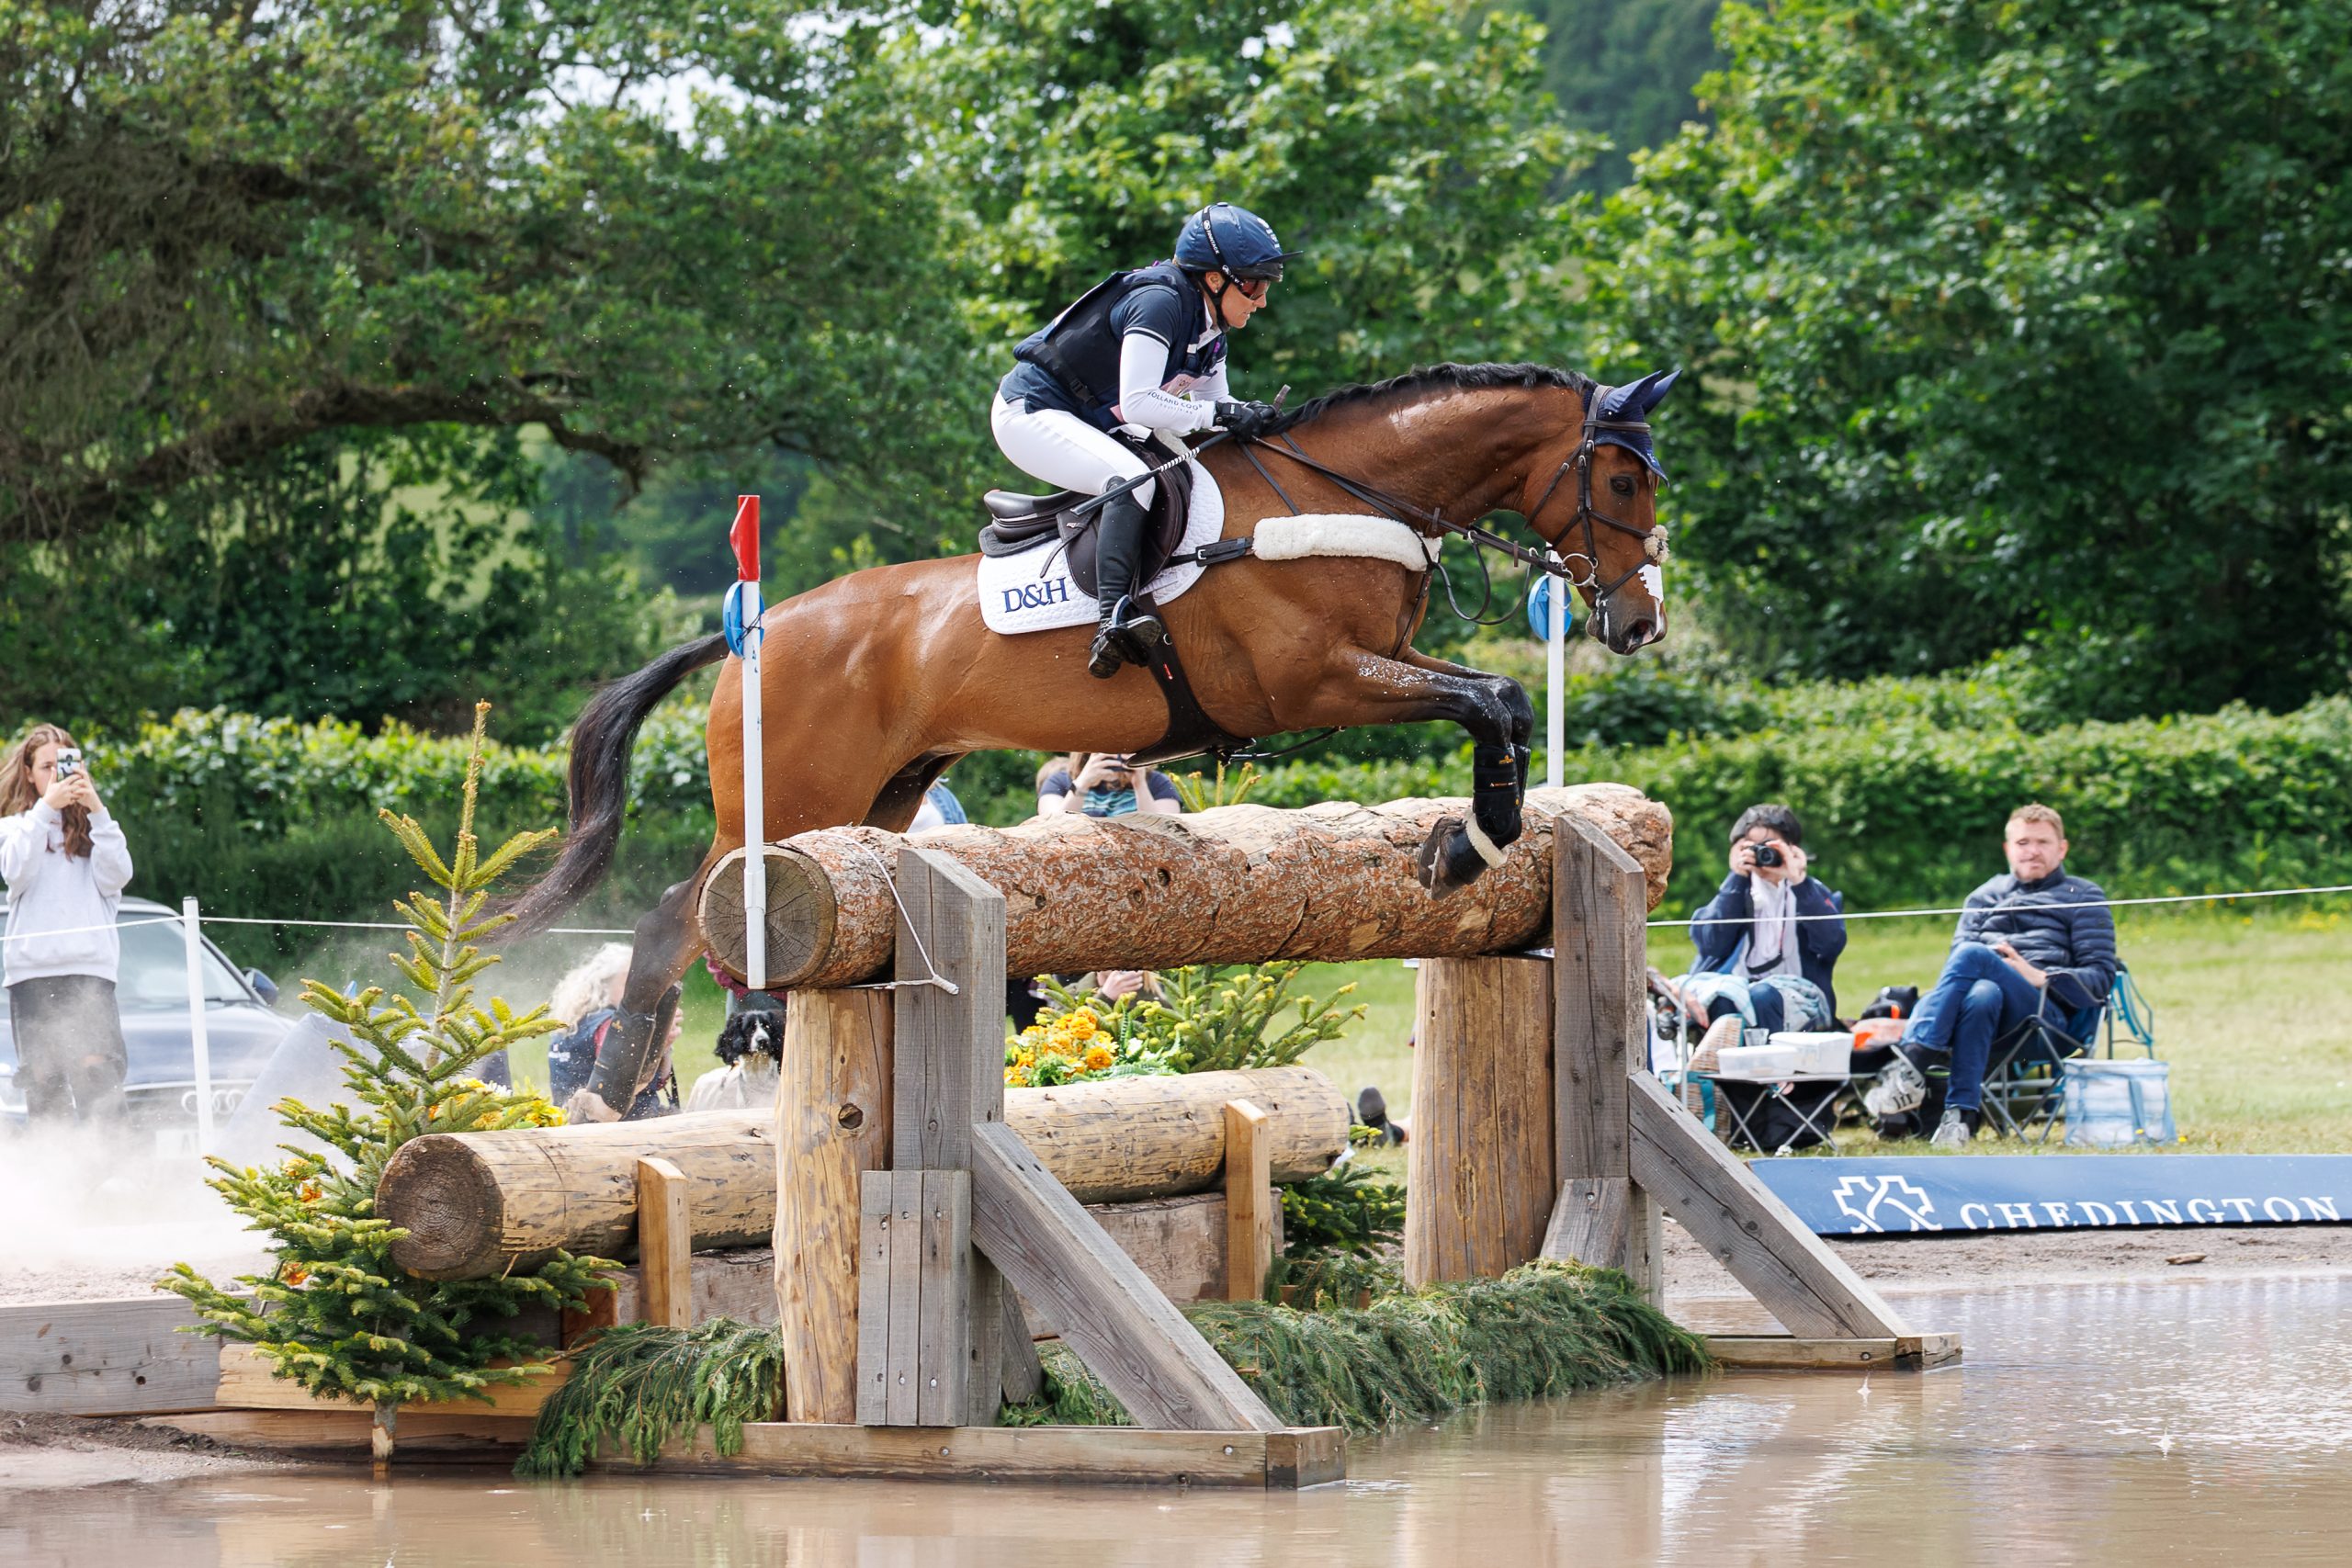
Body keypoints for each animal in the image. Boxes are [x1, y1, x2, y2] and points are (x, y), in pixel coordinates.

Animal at [507, 361, 1677, 1119]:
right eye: (1622, 480)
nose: (1639, 623)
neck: (1340, 494)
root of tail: (756, 630)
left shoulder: (1374, 665)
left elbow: (1499, 704)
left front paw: (1468, 842)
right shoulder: (1318, 679)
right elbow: (1492, 701)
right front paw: (1459, 846)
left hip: (879, 796)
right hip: (789, 797)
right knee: (676, 919)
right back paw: (611, 1089)